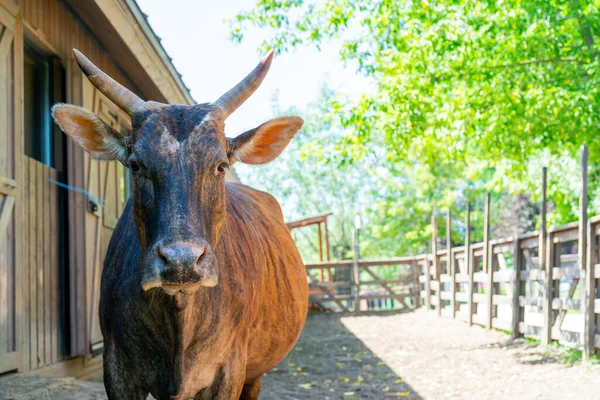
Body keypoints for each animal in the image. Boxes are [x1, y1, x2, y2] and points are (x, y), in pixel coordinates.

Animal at [51, 48, 310, 398]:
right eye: (135, 164)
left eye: (221, 165)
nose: (181, 261)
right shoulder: (116, 369)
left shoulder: (229, 372)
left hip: (254, 372)